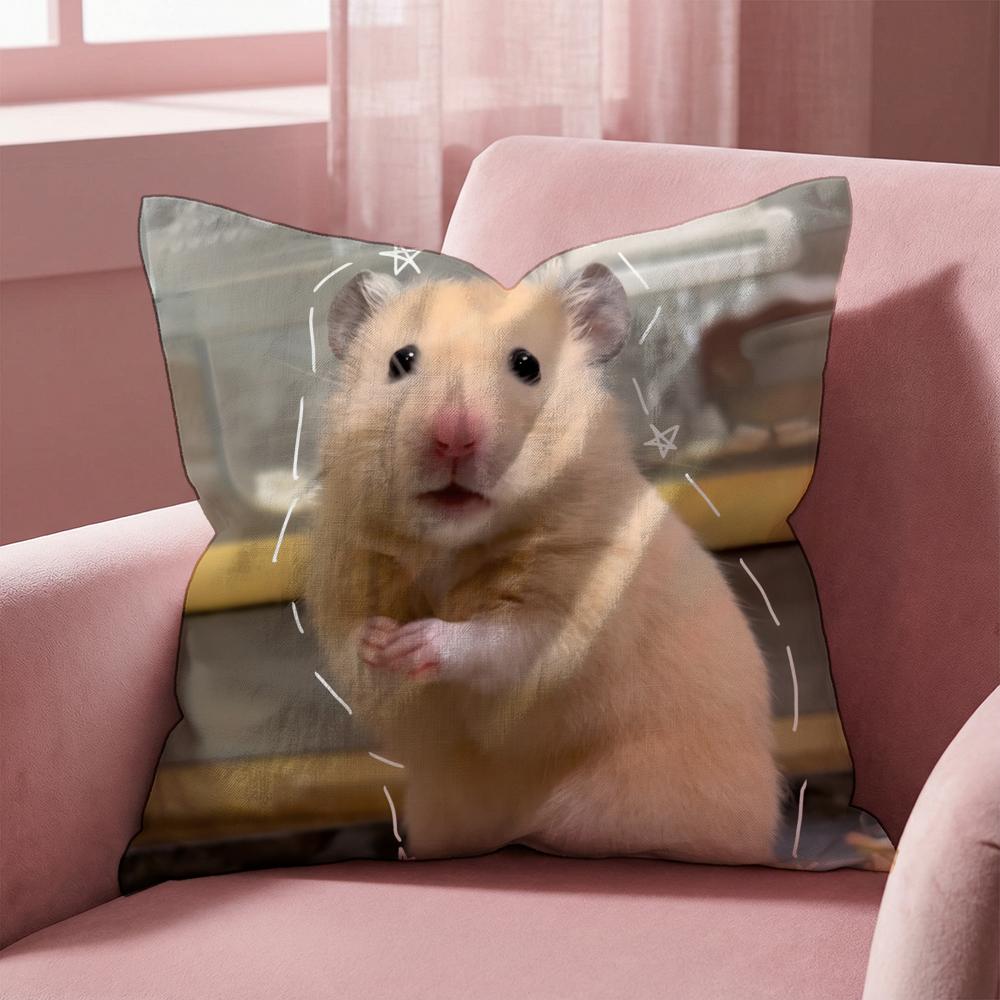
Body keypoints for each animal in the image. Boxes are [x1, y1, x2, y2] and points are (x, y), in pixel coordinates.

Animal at [306, 263, 782, 865]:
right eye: (401, 361)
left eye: (527, 365)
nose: (452, 438)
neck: (452, 544)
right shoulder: (345, 582)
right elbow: (358, 652)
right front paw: (379, 640)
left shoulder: (569, 617)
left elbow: (500, 642)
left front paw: (417, 641)